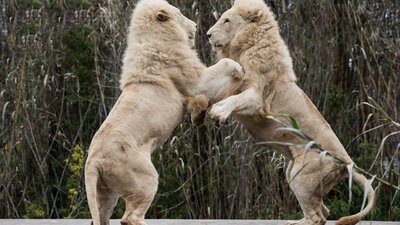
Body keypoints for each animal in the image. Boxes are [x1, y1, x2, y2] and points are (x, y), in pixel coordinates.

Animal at [84, 0, 244, 225]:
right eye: (179, 14)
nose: (196, 26)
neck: (157, 37)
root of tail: (93, 160)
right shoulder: (197, 80)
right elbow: (225, 63)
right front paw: (239, 70)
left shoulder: (192, 91)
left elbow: (200, 102)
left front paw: (198, 116)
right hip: (145, 178)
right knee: (129, 217)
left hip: (105, 192)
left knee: (102, 217)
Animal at [206, 0, 376, 225]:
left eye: (226, 20)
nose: (207, 34)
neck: (245, 48)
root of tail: (348, 163)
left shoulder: (258, 99)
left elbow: (236, 100)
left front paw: (219, 112)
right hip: (292, 172)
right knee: (323, 212)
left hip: (300, 176)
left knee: (317, 217)